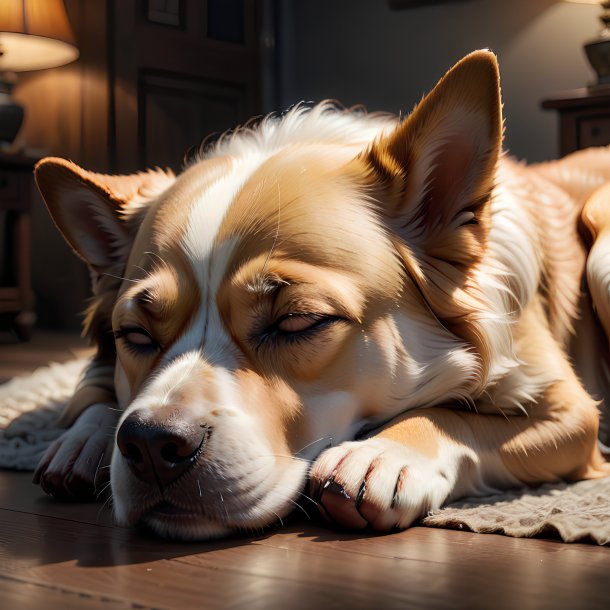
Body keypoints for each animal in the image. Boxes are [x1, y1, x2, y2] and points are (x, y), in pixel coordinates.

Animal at [32, 52, 608, 536]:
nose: (151, 443)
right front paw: (85, 437)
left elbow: (459, 418)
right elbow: (95, 384)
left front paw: (385, 454)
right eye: (135, 335)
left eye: (298, 321)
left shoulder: (572, 414)